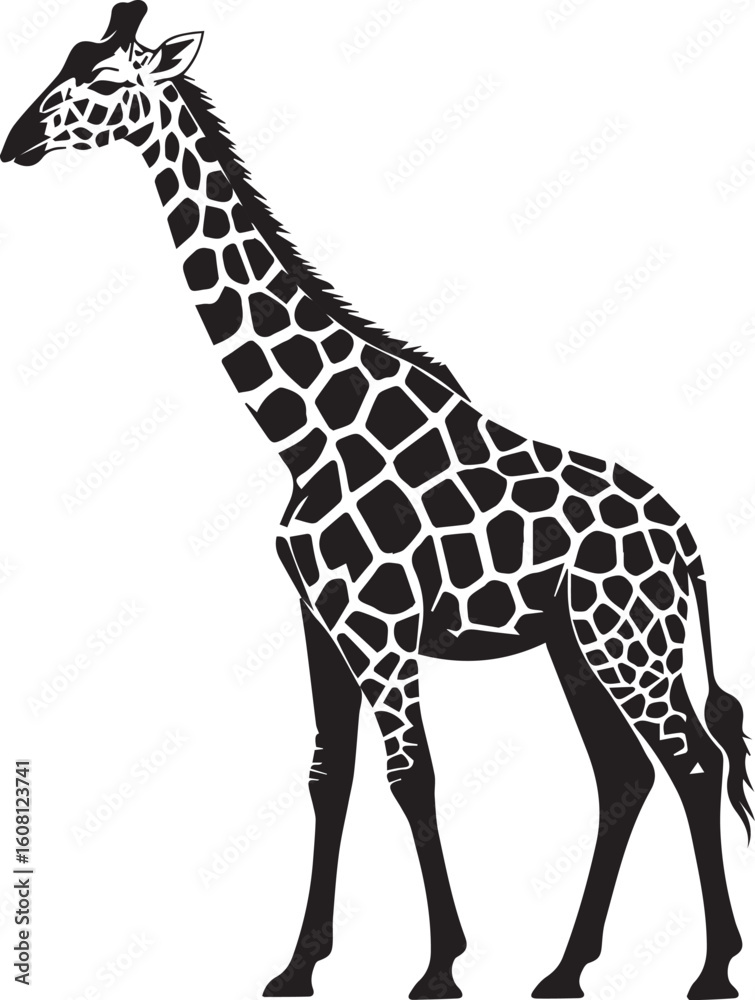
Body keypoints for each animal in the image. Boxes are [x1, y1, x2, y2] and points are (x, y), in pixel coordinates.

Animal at [1, 4, 750, 999]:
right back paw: (564, 970)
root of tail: (688, 542)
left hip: (630, 644)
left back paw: (712, 970)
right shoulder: (323, 623)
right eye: (64, 60)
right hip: (576, 646)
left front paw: (438, 967)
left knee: (693, 763)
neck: (304, 432)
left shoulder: (384, 627)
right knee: (625, 775)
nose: (15, 141)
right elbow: (330, 777)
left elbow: (412, 777)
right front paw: (297, 964)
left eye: (107, 80)